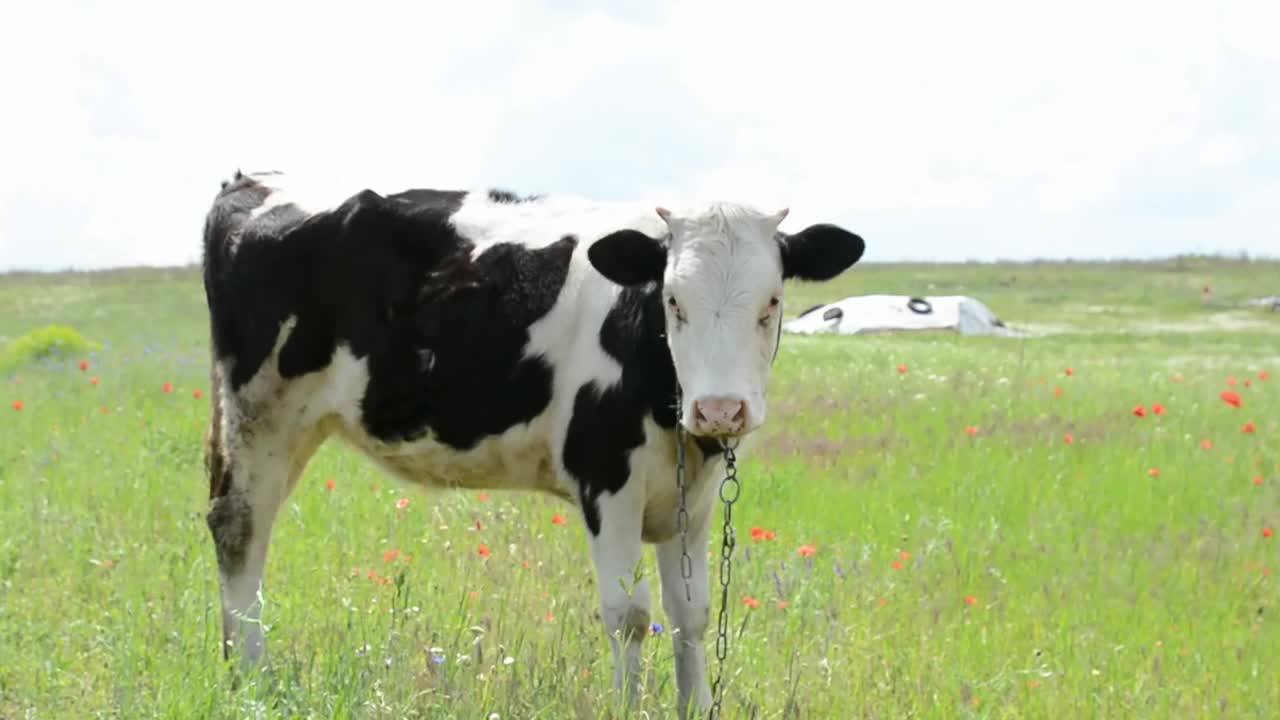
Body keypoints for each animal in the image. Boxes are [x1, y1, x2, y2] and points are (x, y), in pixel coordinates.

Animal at [199, 170, 865, 712]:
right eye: (674, 302)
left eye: (772, 302)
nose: (721, 408)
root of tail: (253, 182)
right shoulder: (605, 477)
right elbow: (629, 616)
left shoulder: (692, 502)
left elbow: (691, 616)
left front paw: (697, 706)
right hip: (260, 416)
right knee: (239, 530)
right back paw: (251, 679)